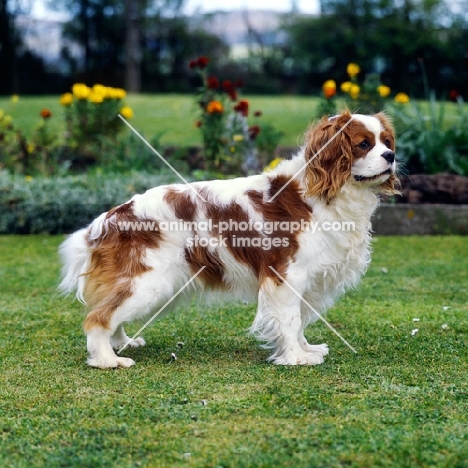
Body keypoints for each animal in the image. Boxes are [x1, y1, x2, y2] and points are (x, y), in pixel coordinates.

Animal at [59, 110, 398, 370]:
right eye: (363, 144)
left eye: (387, 141)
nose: (391, 156)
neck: (324, 193)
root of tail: (110, 217)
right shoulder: (286, 275)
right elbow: (290, 319)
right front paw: (296, 357)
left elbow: (299, 320)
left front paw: (306, 349)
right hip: (149, 282)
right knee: (98, 318)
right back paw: (108, 360)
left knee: (111, 311)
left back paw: (123, 343)